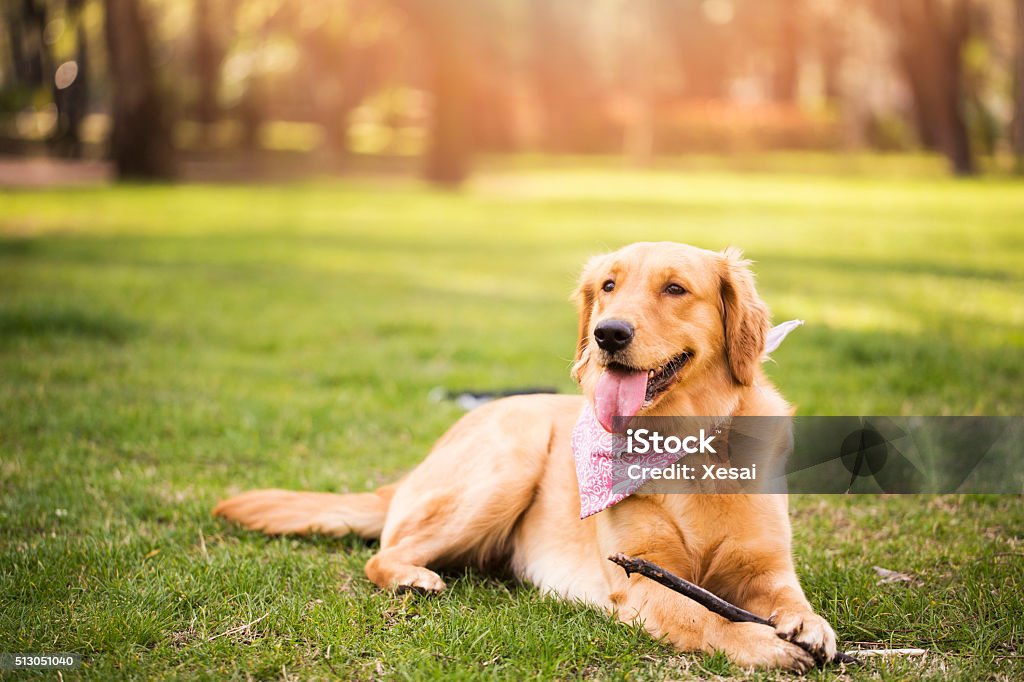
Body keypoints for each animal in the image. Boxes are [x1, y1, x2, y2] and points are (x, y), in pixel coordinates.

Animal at [211, 240, 835, 667]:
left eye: (675, 289)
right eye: (608, 286)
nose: (608, 334)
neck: (682, 440)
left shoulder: (767, 565)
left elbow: (789, 595)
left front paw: (808, 625)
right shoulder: (641, 580)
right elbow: (702, 613)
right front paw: (756, 640)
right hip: (509, 462)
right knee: (381, 555)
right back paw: (413, 577)